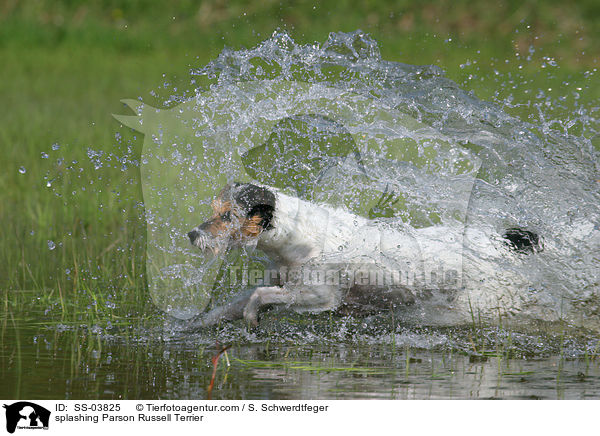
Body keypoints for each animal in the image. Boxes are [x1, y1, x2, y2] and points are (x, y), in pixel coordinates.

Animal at [186, 181, 540, 328]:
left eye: (228, 216)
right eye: (214, 210)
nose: (192, 234)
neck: (299, 236)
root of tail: (506, 243)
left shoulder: (319, 296)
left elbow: (257, 297)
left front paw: (251, 317)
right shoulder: (283, 282)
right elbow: (233, 304)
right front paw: (196, 325)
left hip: (473, 305)